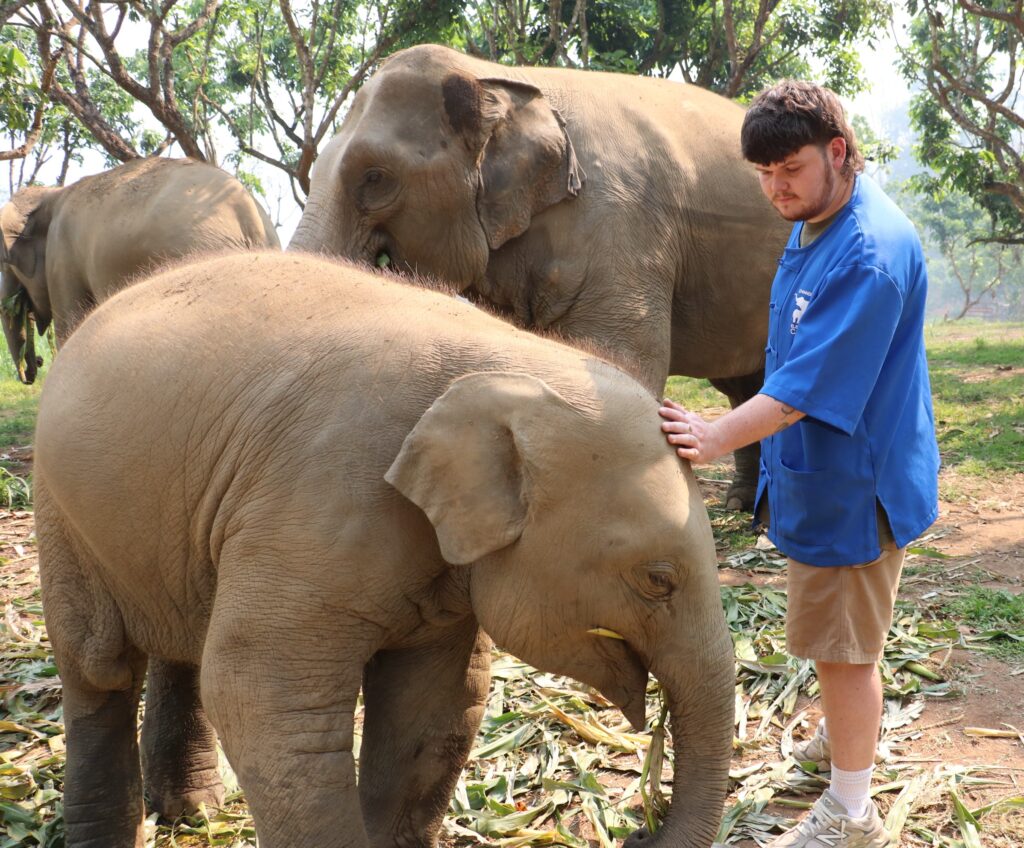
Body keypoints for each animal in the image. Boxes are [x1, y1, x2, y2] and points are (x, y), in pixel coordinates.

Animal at [0, 156, 280, 384]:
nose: (34, 366)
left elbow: (71, 324)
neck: (53, 194)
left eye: (6, 261)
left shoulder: (62, 254)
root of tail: (249, 213)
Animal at [35, 251, 735, 848]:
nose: (639, 828)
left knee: (180, 647)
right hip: (59, 509)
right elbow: (263, 696)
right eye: (658, 579)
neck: (509, 361)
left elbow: (433, 705)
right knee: (100, 667)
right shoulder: (314, 500)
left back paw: (194, 812)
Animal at [288, 43, 791, 510]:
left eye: (375, 177)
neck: (498, 76)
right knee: (744, 383)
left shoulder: (621, 224)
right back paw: (740, 503)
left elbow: (619, 361)